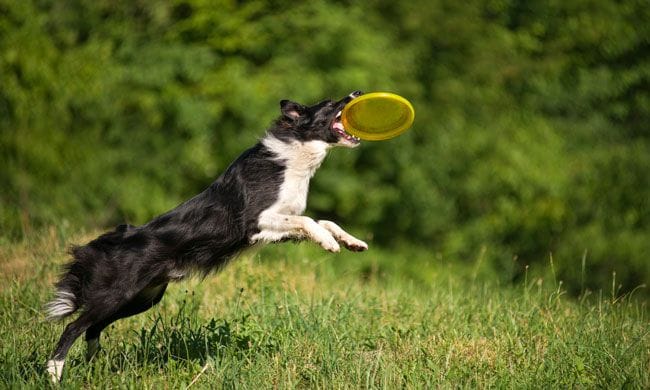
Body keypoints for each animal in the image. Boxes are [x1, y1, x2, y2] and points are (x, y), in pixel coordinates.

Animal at [44, 90, 370, 380]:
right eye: (329, 102)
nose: (358, 92)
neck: (296, 153)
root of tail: (107, 241)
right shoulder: (255, 220)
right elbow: (307, 220)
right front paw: (330, 244)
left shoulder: (273, 231)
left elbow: (321, 220)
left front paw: (352, 241)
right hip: (117, 293)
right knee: (73, 328)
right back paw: (54, 374)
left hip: (142, 298)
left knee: (92, 328)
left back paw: (94, 365)